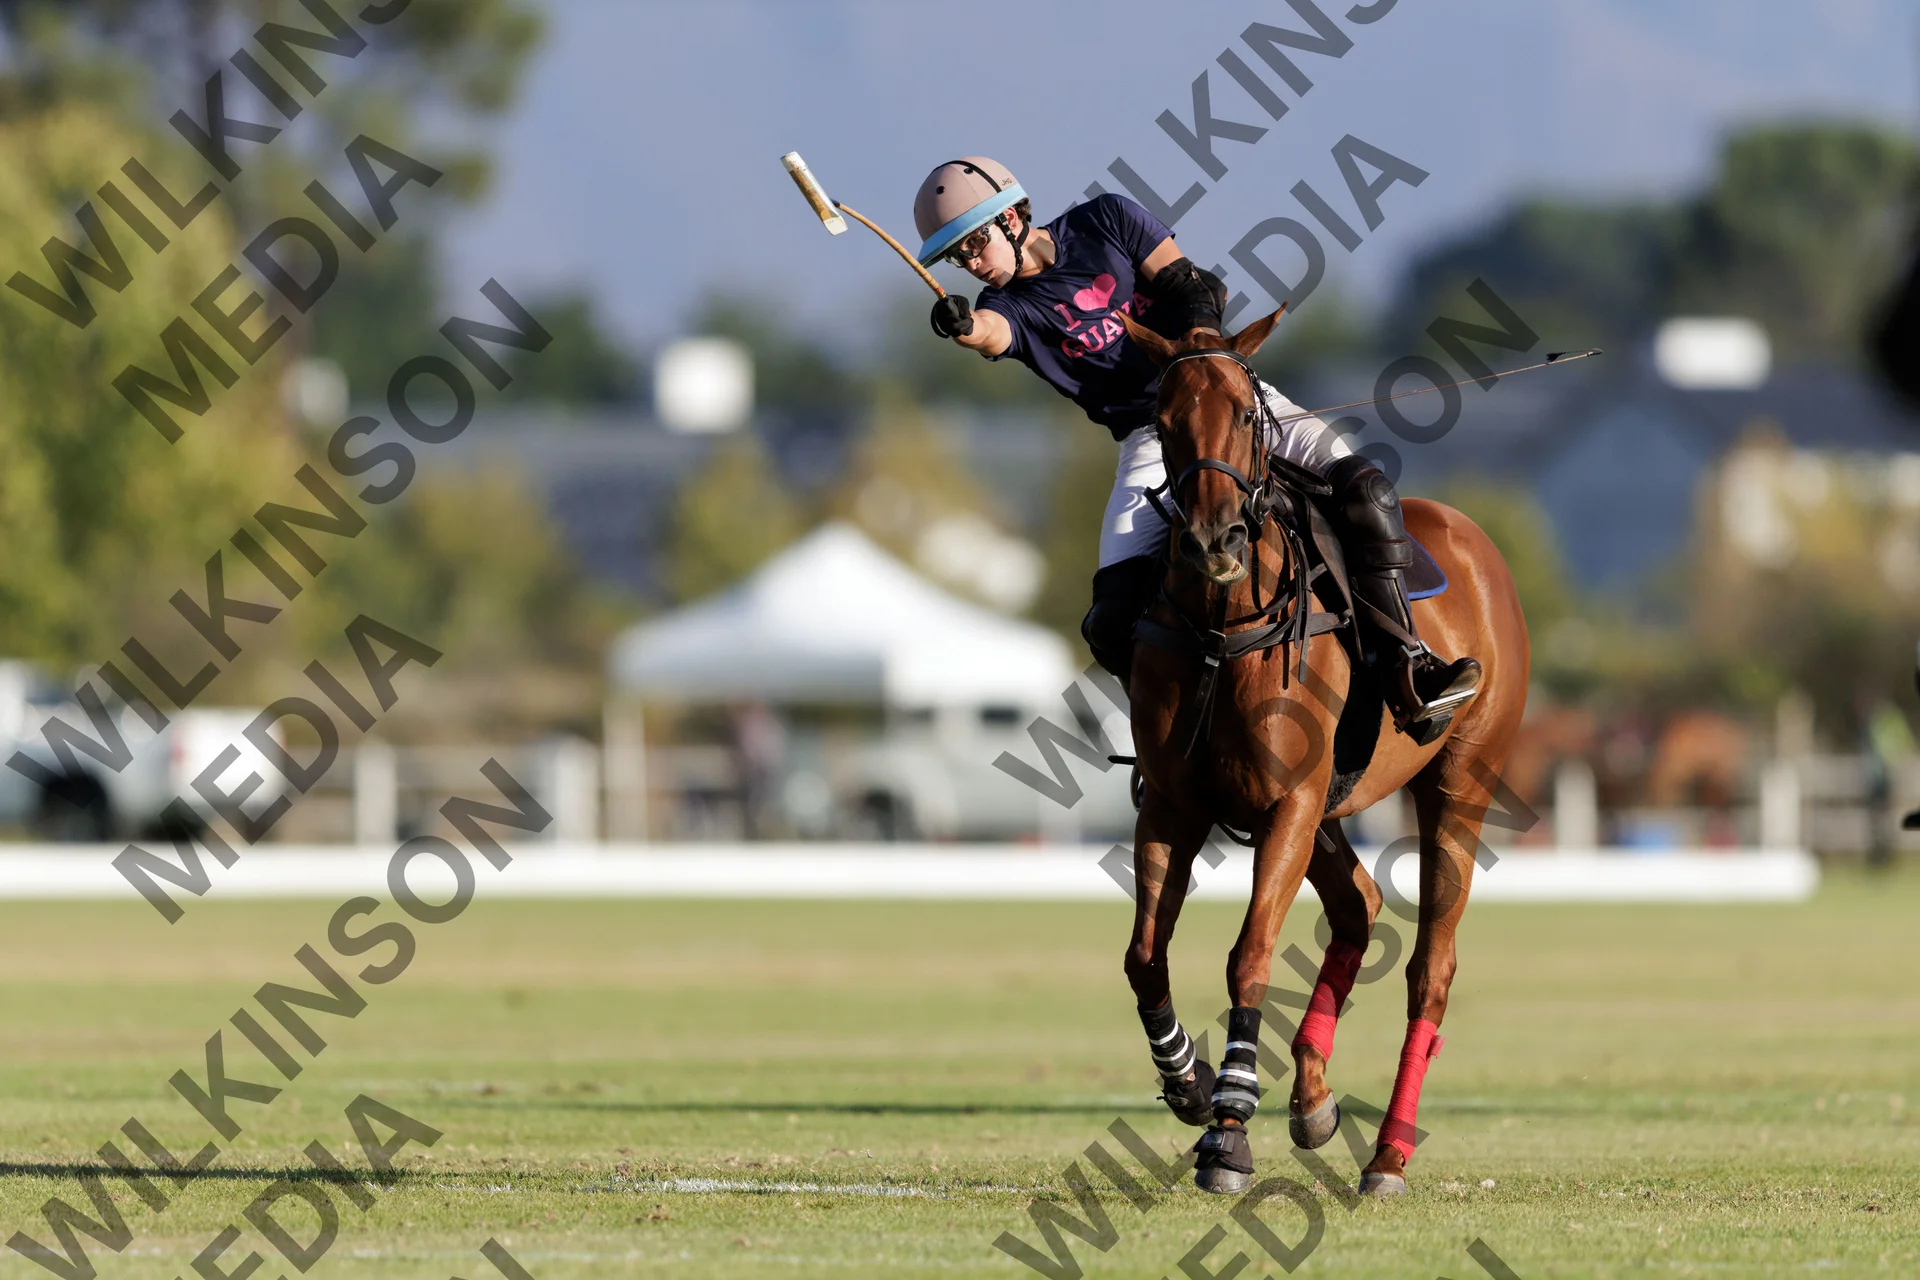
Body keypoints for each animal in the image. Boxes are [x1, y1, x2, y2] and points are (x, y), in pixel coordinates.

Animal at [1113, 307, 1530, 1198]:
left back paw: (1388, 1156)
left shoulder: (1286, 804)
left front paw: (1229, 1134)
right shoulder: (1173, 804)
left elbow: (1248, 957)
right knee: (1359, 908)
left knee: (1430, 968)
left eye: (1245, 412)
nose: (1213, 539)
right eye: (1161, 421)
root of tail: (1474, 536)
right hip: (1330, 809)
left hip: (1457, 784)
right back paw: (1311, 1097)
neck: (1222, 628)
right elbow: (1144, 955)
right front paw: (1190, 1083)